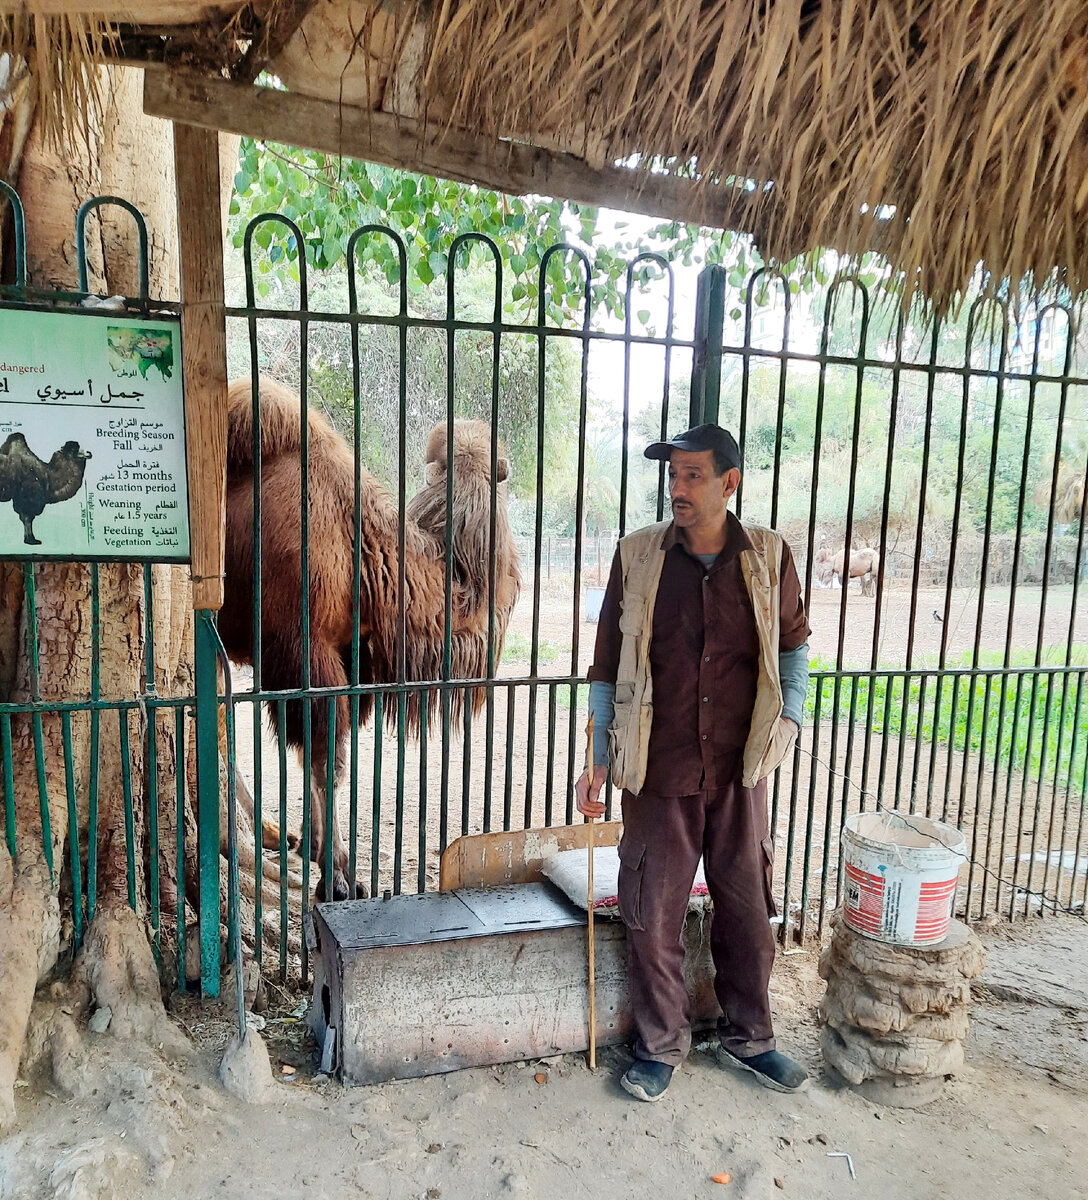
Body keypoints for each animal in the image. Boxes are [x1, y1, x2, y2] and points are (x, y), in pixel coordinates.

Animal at [218, 376, 523, 902]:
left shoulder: (341, 657)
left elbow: (320, 758)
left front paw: (316, 846)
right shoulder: (305, 651)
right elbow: (327, 763)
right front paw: (339, 877)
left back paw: (273, 834)